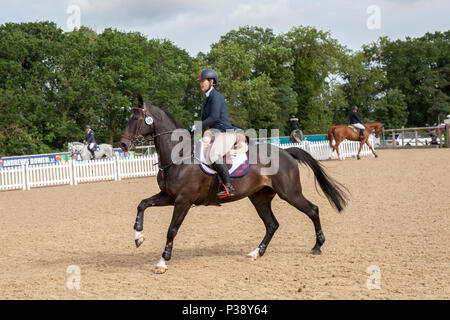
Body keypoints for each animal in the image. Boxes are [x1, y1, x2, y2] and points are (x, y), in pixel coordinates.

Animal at [118, 96, 348, 274]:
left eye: (137, 118)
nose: (122, 144)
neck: (178, 157)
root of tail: (287, 153)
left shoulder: (183, 200)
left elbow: (172, 230)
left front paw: (162, 262)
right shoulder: (168, 196)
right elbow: (142, 204)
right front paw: (138, 236)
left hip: (290, 193)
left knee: (312, 210)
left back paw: (317, 246)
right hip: (259, 197)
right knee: (272, 224)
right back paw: (256, 252)